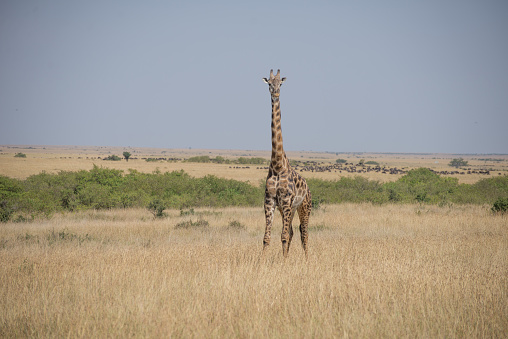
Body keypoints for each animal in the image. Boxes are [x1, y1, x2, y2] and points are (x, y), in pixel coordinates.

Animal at [264, 69, 312, 258]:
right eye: (269, 83)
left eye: (281, 83)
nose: (275, 93)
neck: (277, 165)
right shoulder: (270, 201)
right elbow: (267, 238)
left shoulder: (285, 201)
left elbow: (283, 236)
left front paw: (284, 263)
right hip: (290, 209)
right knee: (292, 231)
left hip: (304, 207)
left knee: (304, 232)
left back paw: (307, 260)